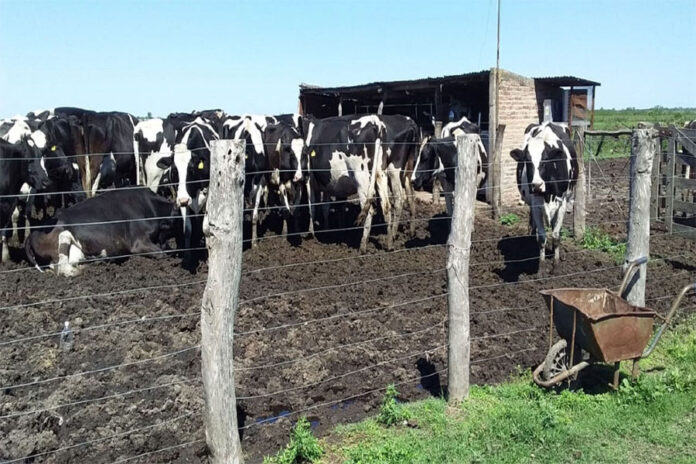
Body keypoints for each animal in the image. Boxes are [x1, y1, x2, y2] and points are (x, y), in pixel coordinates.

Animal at [510, 121, 578, 263]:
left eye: (546, 160)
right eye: (527, 160)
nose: (537, 185)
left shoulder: (562, 204)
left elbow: (556, 235)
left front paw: (555, 262)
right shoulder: (536, 205)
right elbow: (541, 236)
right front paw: (542, 263)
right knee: (534, 225)